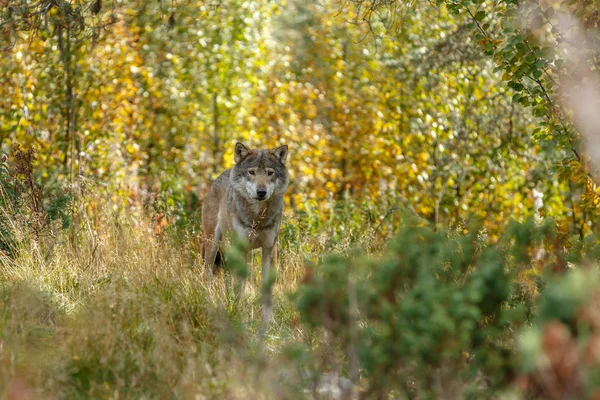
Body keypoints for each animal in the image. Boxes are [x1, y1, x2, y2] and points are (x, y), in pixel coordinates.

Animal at [202, 142, 290, 324]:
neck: (257, 217)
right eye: (252, 172)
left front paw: (268, 320)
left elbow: (266, 289)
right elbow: (239, 286)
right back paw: (210, 302)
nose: (261, 192)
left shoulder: (269, 248)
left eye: (270, 173)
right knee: (208, 274)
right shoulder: (240, 248)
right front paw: (239, 314)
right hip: (213, 245)